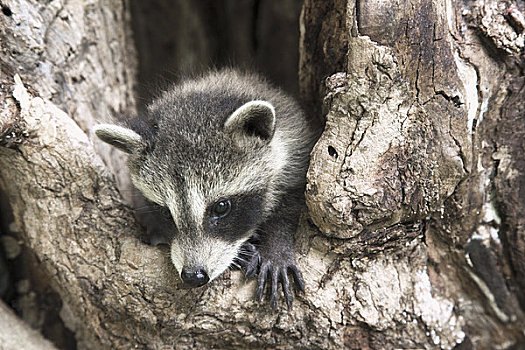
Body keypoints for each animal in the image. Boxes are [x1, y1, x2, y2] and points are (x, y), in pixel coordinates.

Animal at [93, 69, 318, 308]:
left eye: (221, 207)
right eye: (165, 212)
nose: (194, 276)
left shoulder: (296, 149)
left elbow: (292, 202)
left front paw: (276, 246)